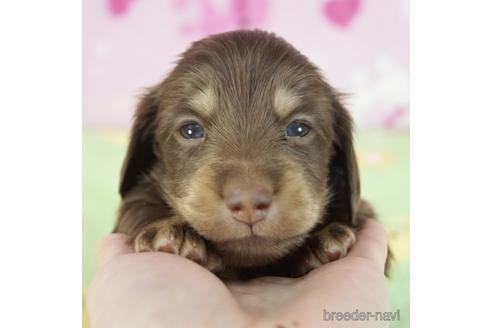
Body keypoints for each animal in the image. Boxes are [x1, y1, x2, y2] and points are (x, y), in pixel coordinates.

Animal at [114, 29, 384, 278]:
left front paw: (321, 238)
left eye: (299, 128)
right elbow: (137, 204)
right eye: (191, 130)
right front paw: (166, 229)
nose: (249, 203)